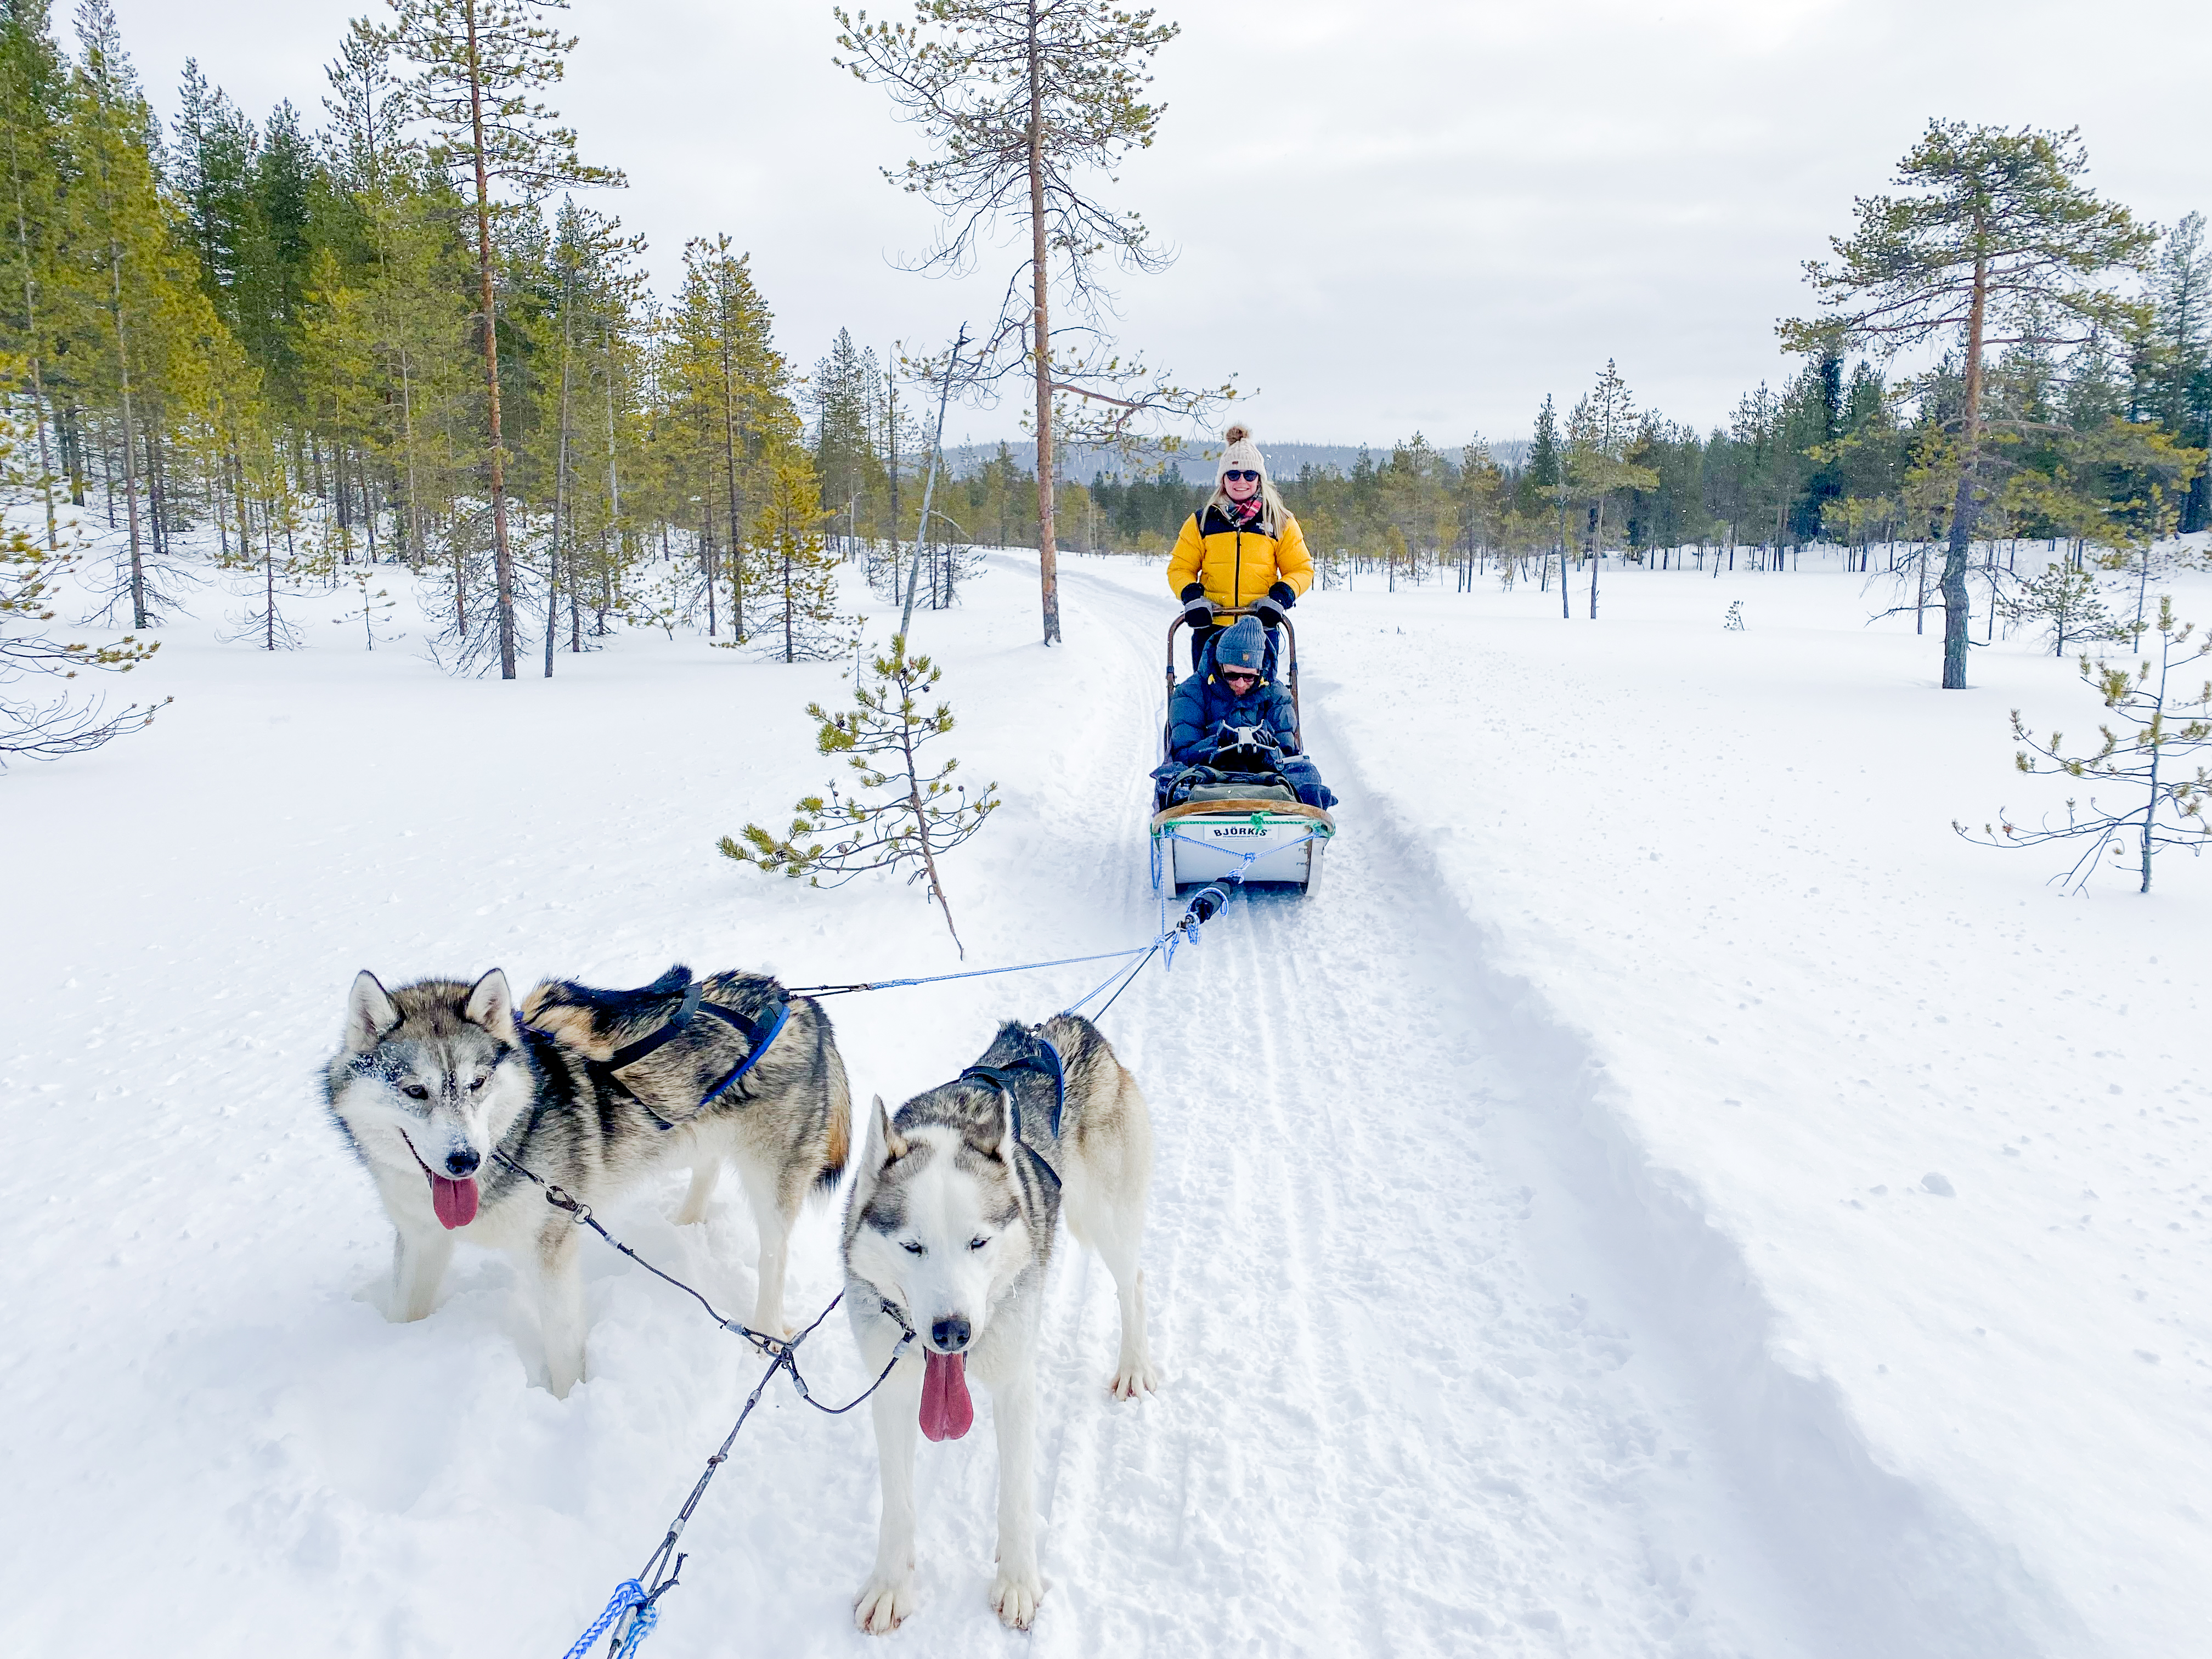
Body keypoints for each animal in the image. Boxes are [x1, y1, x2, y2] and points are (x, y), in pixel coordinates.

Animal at [325, 960, 845, 1407]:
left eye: (477, 1083)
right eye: (415, 1091)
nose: (464, 1161)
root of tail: (796, 1000)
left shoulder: (550, 1248)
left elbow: (563, 1347)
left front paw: (566, 1407)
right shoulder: (421, 1240)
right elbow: (403, 1308)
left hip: (772, 1183)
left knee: (773, 1257)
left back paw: (768, 1335)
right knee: (708, 1168)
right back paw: (683, 1226)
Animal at [840, 1013, 1159, 1637]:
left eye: (978, 1242)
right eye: (912, 1247)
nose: (952, 1332)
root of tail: (1068, 1025)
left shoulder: (1014, 1385)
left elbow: (1015, 1496)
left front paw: (1017, 1581)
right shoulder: (892, 1391)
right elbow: (898, 1504)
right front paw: (891, 1586)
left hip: (1106, 1219)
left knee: (1131, 1282)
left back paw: (1134, 1365)